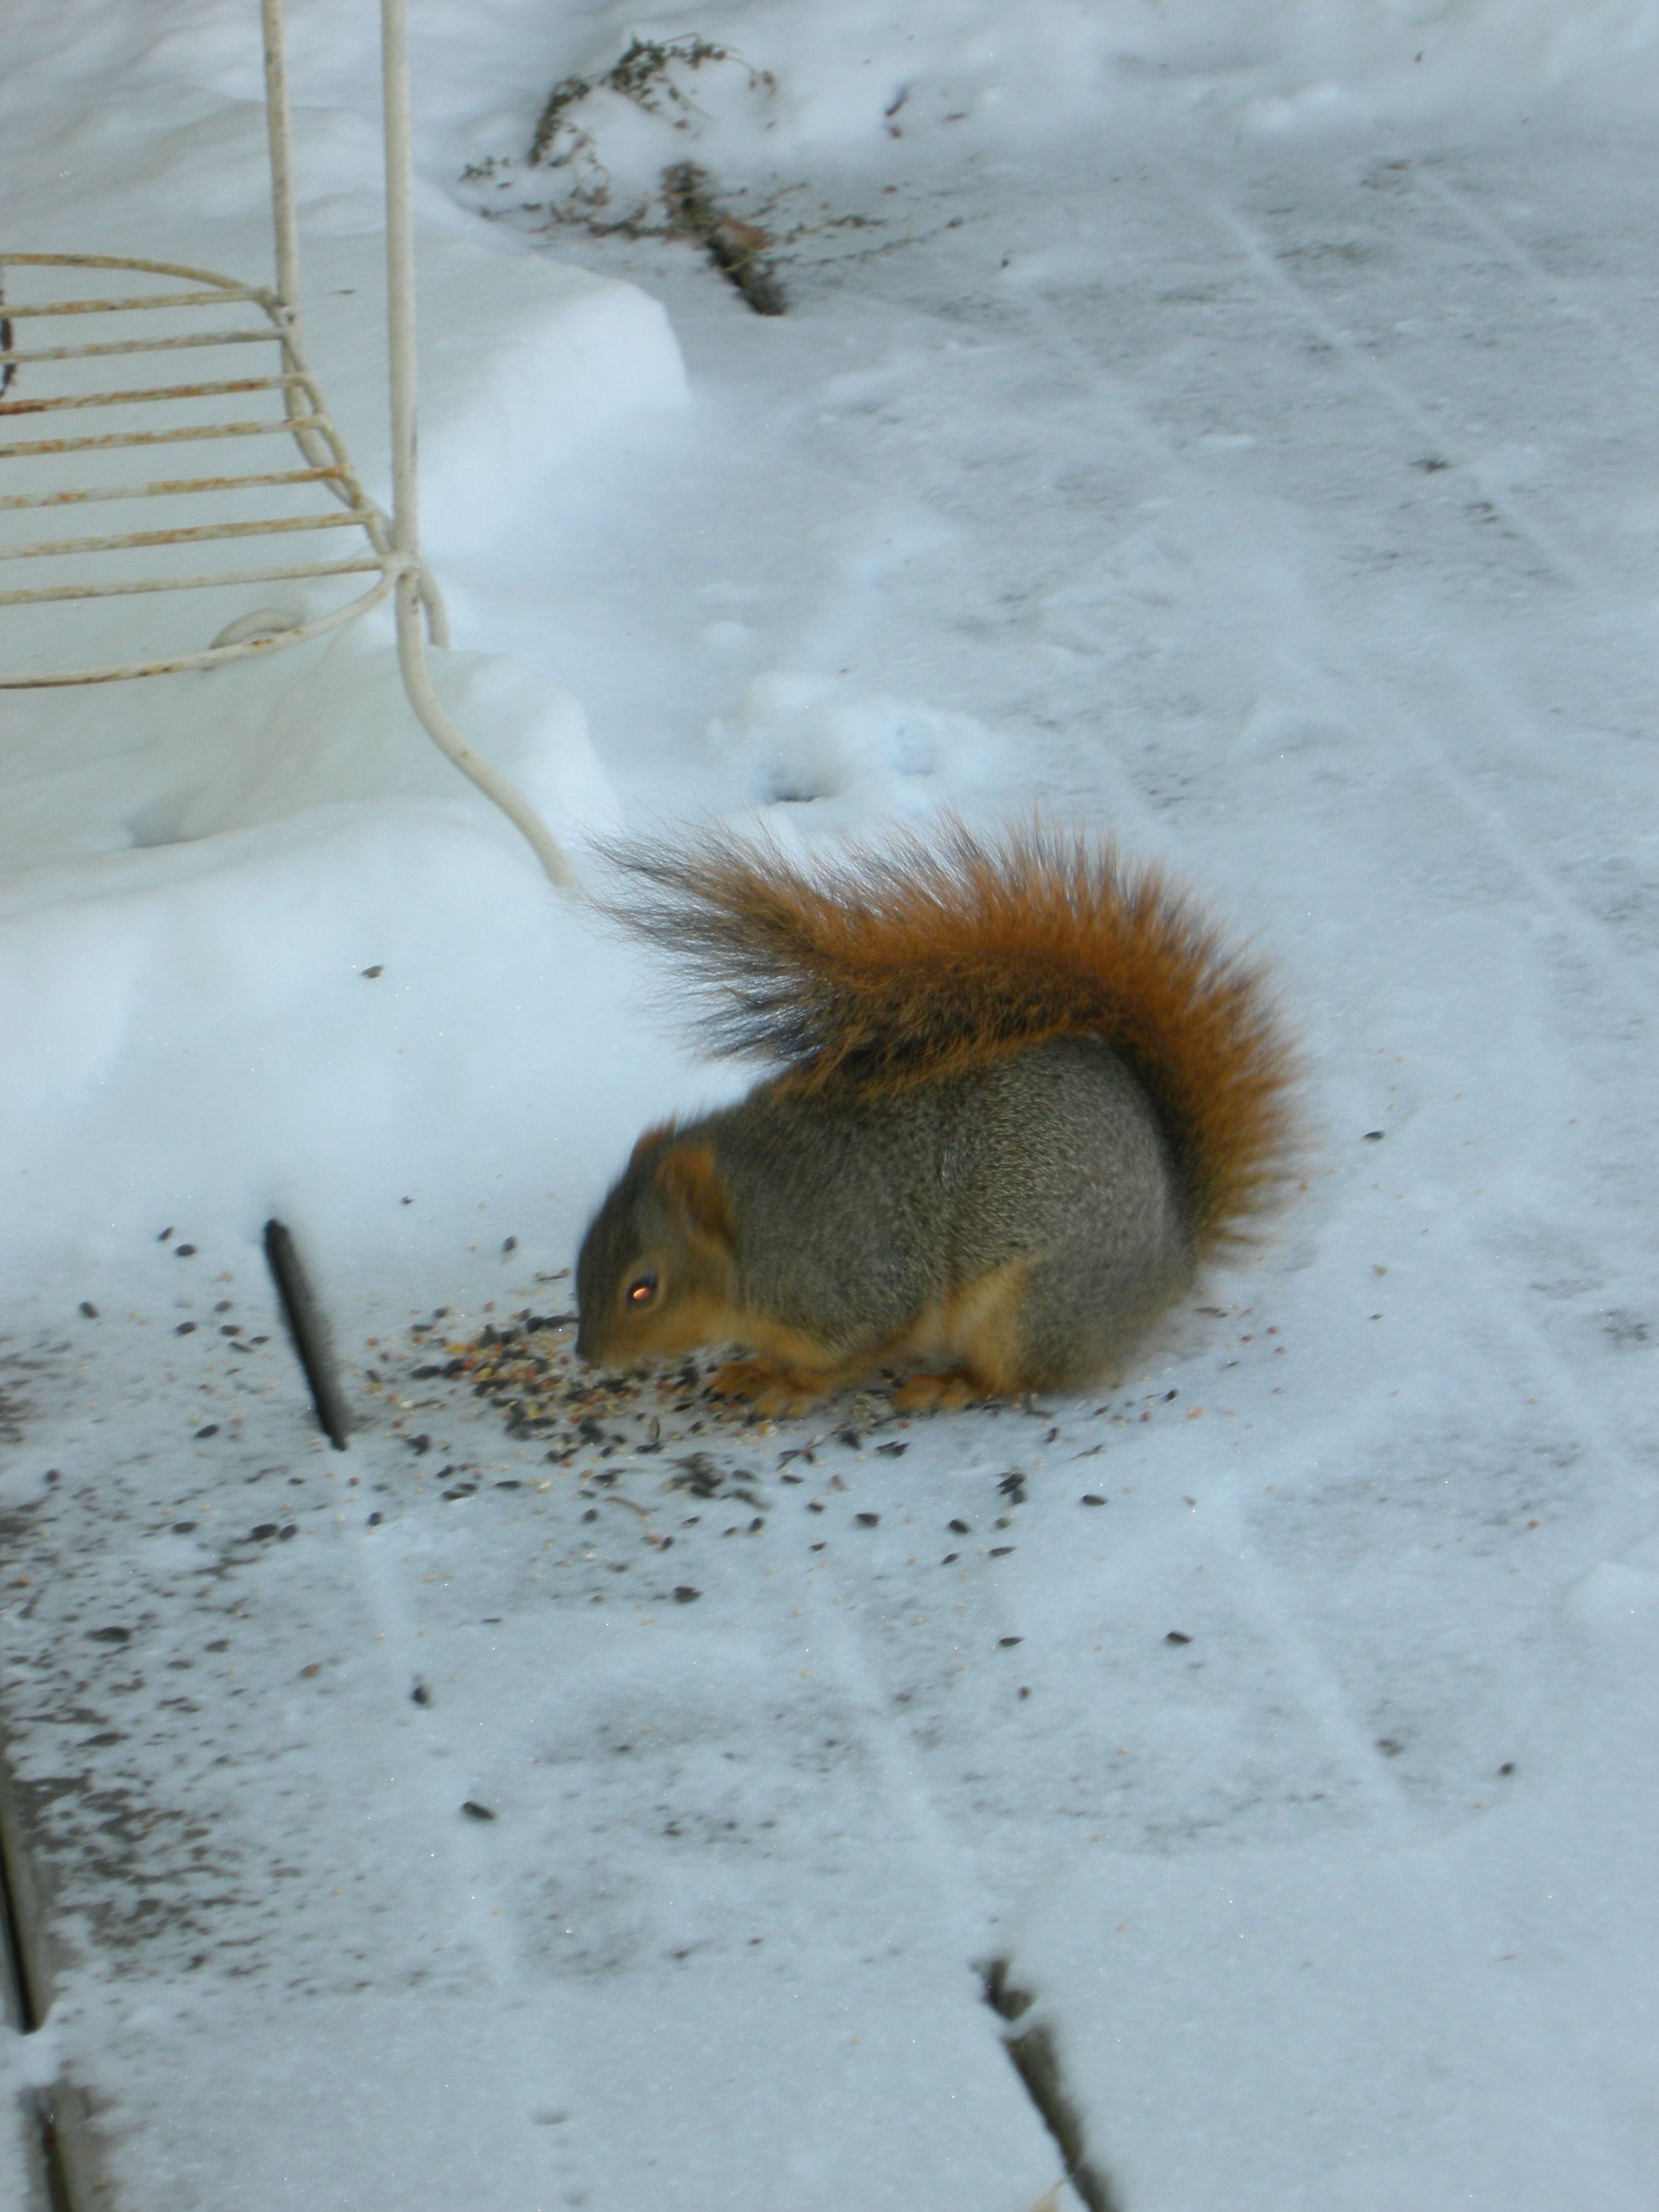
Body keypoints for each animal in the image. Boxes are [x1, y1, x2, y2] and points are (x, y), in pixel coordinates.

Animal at [575, 817, 1299, 1416]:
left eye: (643, 1288)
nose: (587, 1354)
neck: (757, 1223)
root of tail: (1174, 1251)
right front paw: (754, 1368)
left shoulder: (855, 1284)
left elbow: (857, 1351)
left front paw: (789, 1387)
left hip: (1030, 1309)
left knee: (1017, 1378)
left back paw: (950, 1385)